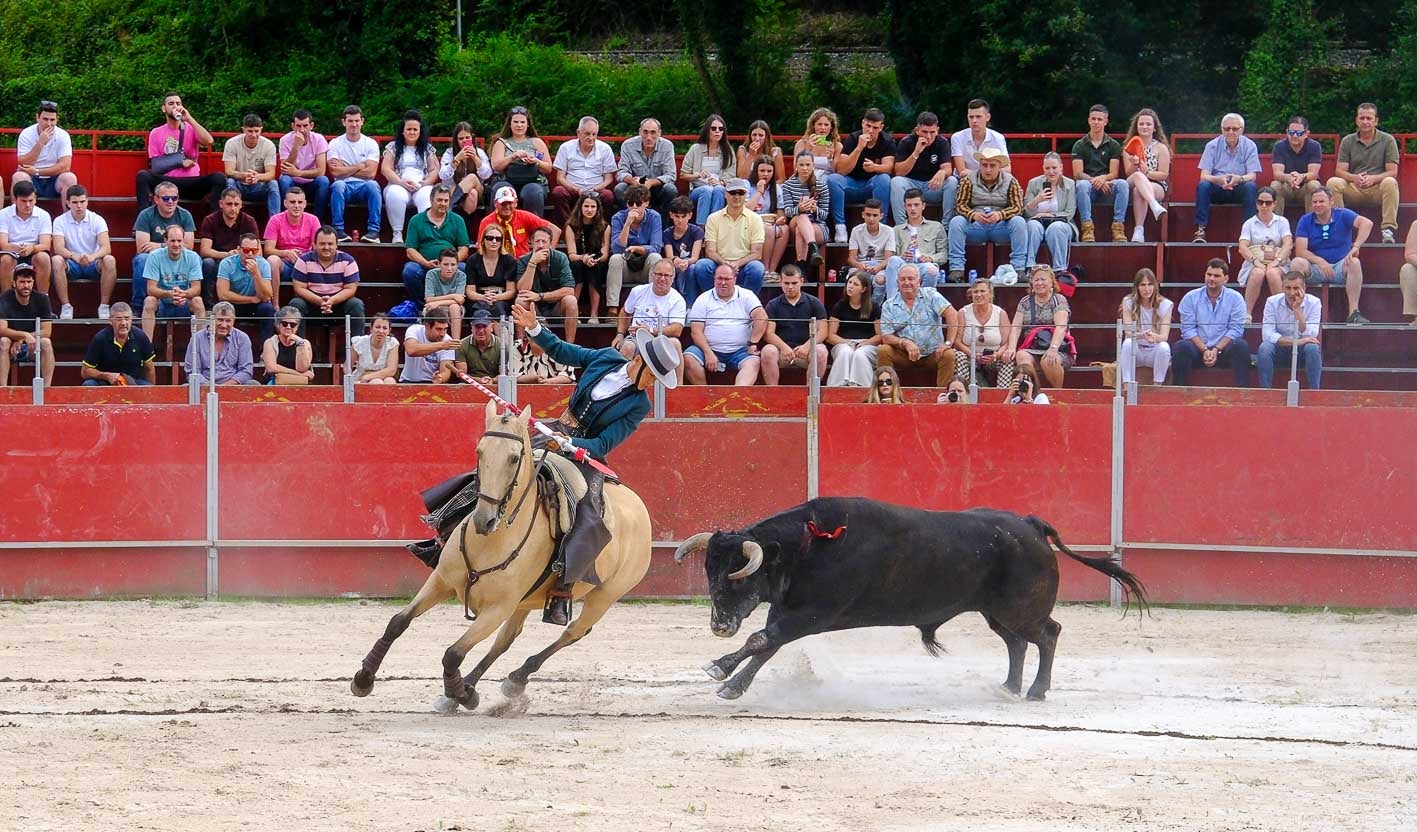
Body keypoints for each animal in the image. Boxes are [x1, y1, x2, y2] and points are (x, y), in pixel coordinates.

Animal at [348, 399, 651, 714]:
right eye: (479, 451)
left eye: (515, 458)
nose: (485, 520)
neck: (489, 542)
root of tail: (639, 507)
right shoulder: (441, 581)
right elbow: (398, 622)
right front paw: (363, 679)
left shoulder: (497, 608)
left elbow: (454, 652)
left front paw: (463, 694)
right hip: (526, 601)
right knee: (505, 640)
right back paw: (475, 686)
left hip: (604, 597)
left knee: (573, 632)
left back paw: (514, 679)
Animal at [668, 501, 1144, 703]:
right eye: (709, 572)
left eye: (739, 577)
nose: (719, 625)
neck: (807, 546)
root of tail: (1028, 524)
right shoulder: (791, 613)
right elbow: (766, 645)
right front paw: (731, 683)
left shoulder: (811, 614)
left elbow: (761, 640)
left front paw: (721, 671)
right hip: (995, 612)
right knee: (1016, 642)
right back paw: (1009, 686)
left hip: (1021, 609)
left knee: (1048, 633)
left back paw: (1036, 691)